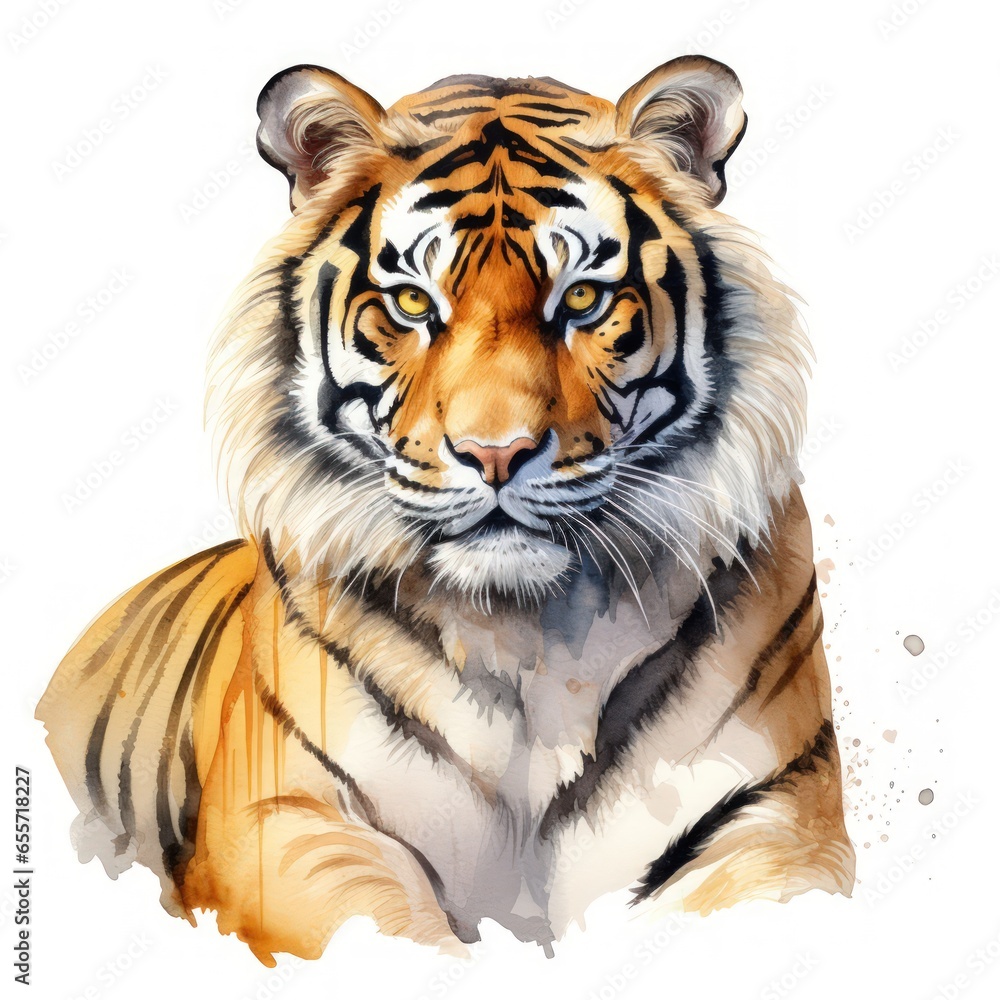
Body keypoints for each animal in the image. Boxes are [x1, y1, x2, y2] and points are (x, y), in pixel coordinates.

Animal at [37, 54, 855, 965]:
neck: (532, 634)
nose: (496, 452)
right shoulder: (281, 822)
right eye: (413, 305)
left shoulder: (776, 817)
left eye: (582, 301)